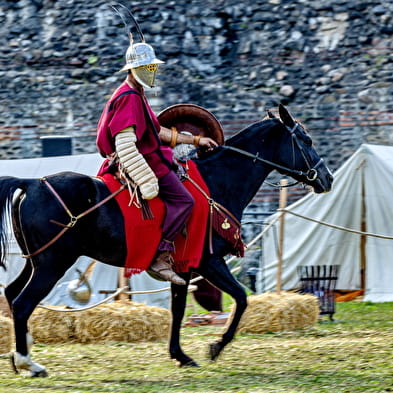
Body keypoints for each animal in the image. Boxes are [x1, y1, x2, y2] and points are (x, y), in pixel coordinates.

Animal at [0, 103, 330, 374]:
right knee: (23, 303)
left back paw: (20, 357)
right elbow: (241, 298)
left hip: (36, 262)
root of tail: (31, 184)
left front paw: (180, 355)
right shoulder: (209, 262)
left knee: (13, 295)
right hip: (52, 264)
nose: (327, 178)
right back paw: (29, 363)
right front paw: (216, 346)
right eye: (307, 140)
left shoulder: (183, 269)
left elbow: (179, 309)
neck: (217, 181)